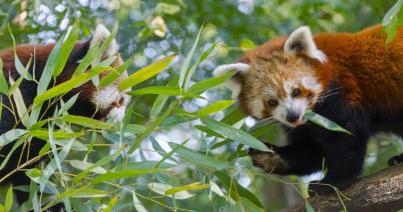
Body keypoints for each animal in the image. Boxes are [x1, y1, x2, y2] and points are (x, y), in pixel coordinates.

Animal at [216, 24, 403, 195]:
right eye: (271, 102)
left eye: (296, 91)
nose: (293, 116)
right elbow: (312, 150)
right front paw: (271, 156)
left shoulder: (344, 96)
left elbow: (347, 141)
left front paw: (332, 182)